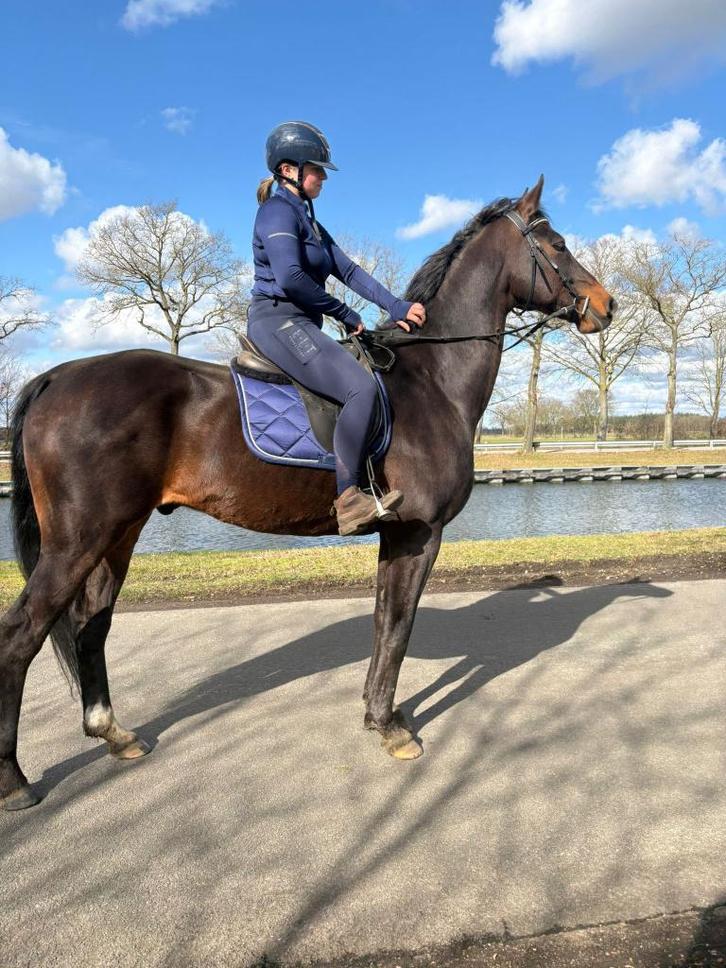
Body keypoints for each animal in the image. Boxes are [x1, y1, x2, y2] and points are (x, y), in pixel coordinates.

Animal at [0, 176, 615, 810]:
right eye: (558, 244)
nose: (607, 305)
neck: (430, 380)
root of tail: (57, 376)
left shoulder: (395, 535)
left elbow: (384, 622)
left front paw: (376, 714)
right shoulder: (420, 534)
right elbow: (399, 625)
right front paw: (391, 727)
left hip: (117, 536)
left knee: (91, 626)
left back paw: (114, 735)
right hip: (77, 541)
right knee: (21, 635)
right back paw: (14, 779)